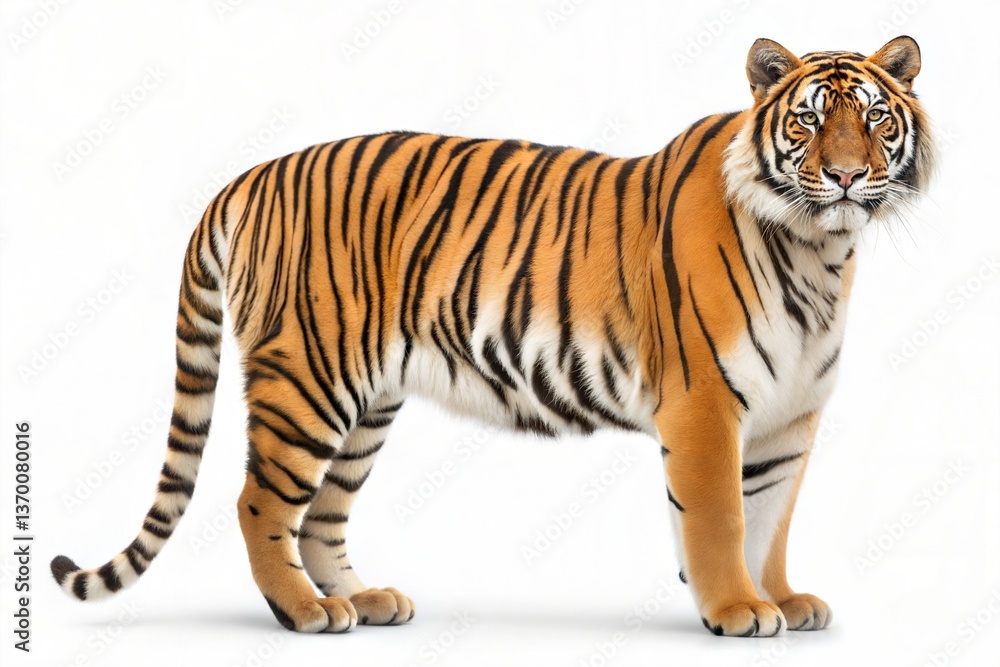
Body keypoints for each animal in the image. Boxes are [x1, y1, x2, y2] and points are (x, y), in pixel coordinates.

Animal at [51, 36, 935, 637]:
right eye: (810, 122)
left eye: (875, 118)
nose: (849, 175)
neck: (820, 251)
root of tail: (249, 174)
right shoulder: (704, 402)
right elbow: (721, 516)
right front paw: (735, 609)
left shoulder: (791, 413)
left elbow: (772, 516)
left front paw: (778, 597)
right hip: (307, 378)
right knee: (260, 499)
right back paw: (304, 610)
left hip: (367, 399)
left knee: (323, 512)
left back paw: (361, 598)